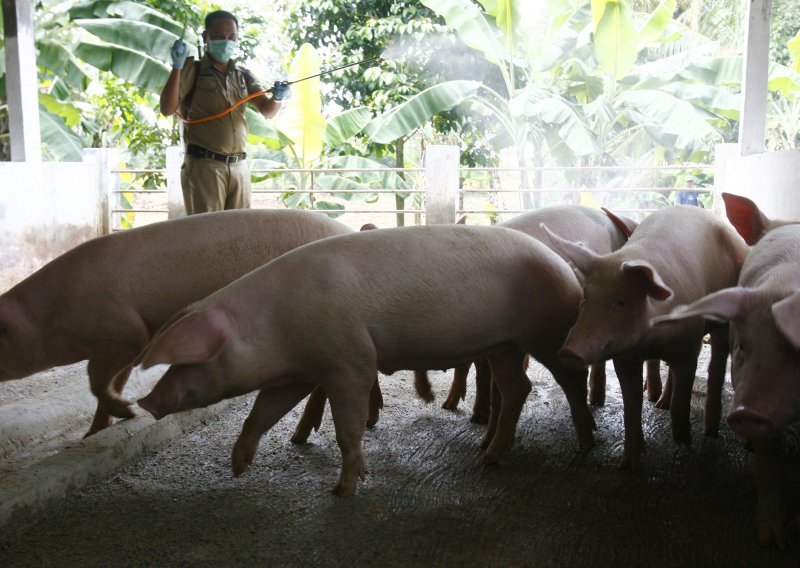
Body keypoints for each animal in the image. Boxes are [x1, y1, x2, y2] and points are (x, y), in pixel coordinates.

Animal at [0, 209, 350, 434]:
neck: (49, 315)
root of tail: (346, 231)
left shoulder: (124, 332)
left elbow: (96, 380)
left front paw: (128, 411)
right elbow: (113, 381)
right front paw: (95, 432)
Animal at [138, 225, 592, 496]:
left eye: (190, 360)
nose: (146, 402)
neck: (275, 325)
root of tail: (564, 268)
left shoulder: (349, 362)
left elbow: (347, 428)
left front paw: (342, 490)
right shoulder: (295, 373)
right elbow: (262, 412)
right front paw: (237, 466)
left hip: (547, 332)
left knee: (571, 378)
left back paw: (585, 443)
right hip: (504, 345)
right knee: (518, 387)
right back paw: (488, 456)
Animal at [544, 206, 752, 468]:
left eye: (621, 301)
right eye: (585, 299)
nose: (568, 351)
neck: (651, 340)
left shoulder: (688, 346)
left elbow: (682, 398)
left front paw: (683, 443)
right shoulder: (625, 358)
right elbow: (631, 407)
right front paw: (628, 464)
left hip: (721, 321)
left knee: (716, 366)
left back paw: (709, 431)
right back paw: (661, 403)